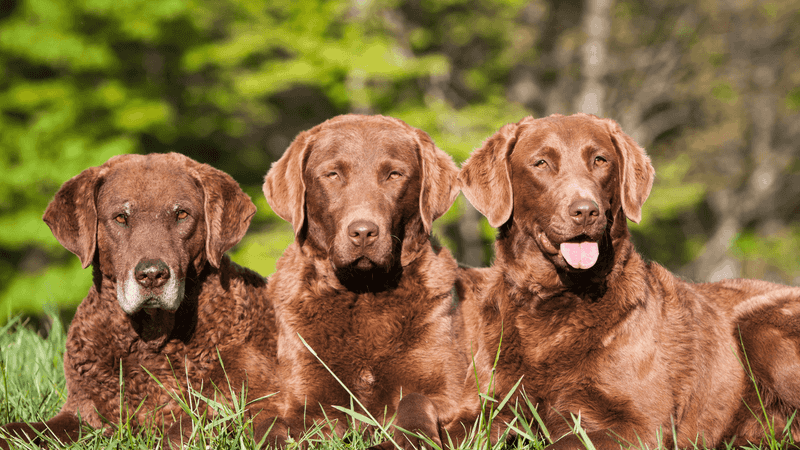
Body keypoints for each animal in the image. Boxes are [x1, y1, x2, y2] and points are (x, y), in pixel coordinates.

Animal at [0, 153, 286, 448]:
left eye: (181, 214)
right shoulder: (83, 411)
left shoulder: (254, 403)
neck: (148, 341)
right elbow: (19, 430)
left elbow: (188, 426)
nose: (151, 275)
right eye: (121, 217)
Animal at [264, 114, 462, 448]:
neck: (364, 291)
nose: (363, 232)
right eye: (332, 174)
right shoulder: (304, 397)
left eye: (394, 174)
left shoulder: (452, 395)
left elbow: (414, 399)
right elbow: (285, 425)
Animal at [460, 114, 800, 450]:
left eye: (600, 160)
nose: (586, 211)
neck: (554, 304)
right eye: (541, 163)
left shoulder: (640, 424)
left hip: (757, 325)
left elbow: (563, 442)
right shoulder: (487, 410)